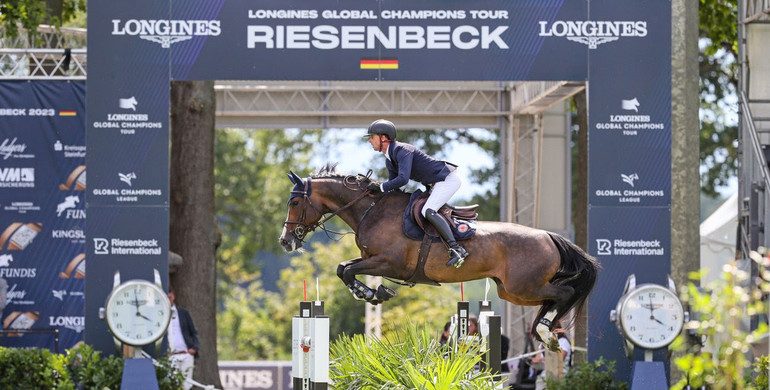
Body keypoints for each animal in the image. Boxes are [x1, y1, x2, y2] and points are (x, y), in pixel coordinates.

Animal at [280, 162, 596, 350]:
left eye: (294, 202)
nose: (285, 242)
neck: (371, 210)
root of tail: (548, 236)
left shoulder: (389, 262)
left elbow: (345, 269)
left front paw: (373, 293)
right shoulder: (373, 260)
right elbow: (343, 268)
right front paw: (371, 292)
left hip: (524, 286)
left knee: (565, 292)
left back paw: (546, 331)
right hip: (513, 292)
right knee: (553, 298)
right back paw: (547, 330)